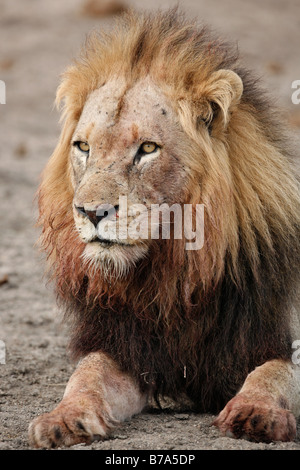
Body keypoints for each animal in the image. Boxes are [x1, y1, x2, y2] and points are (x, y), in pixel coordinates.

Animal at [28, 9, 300, 446]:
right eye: (83, 147)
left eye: (148, 149)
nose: (91, 212)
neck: (174, 274)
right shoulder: (126, 348)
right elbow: (86, 375)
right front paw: (63, 419)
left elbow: (272, 373)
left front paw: (255, 413)